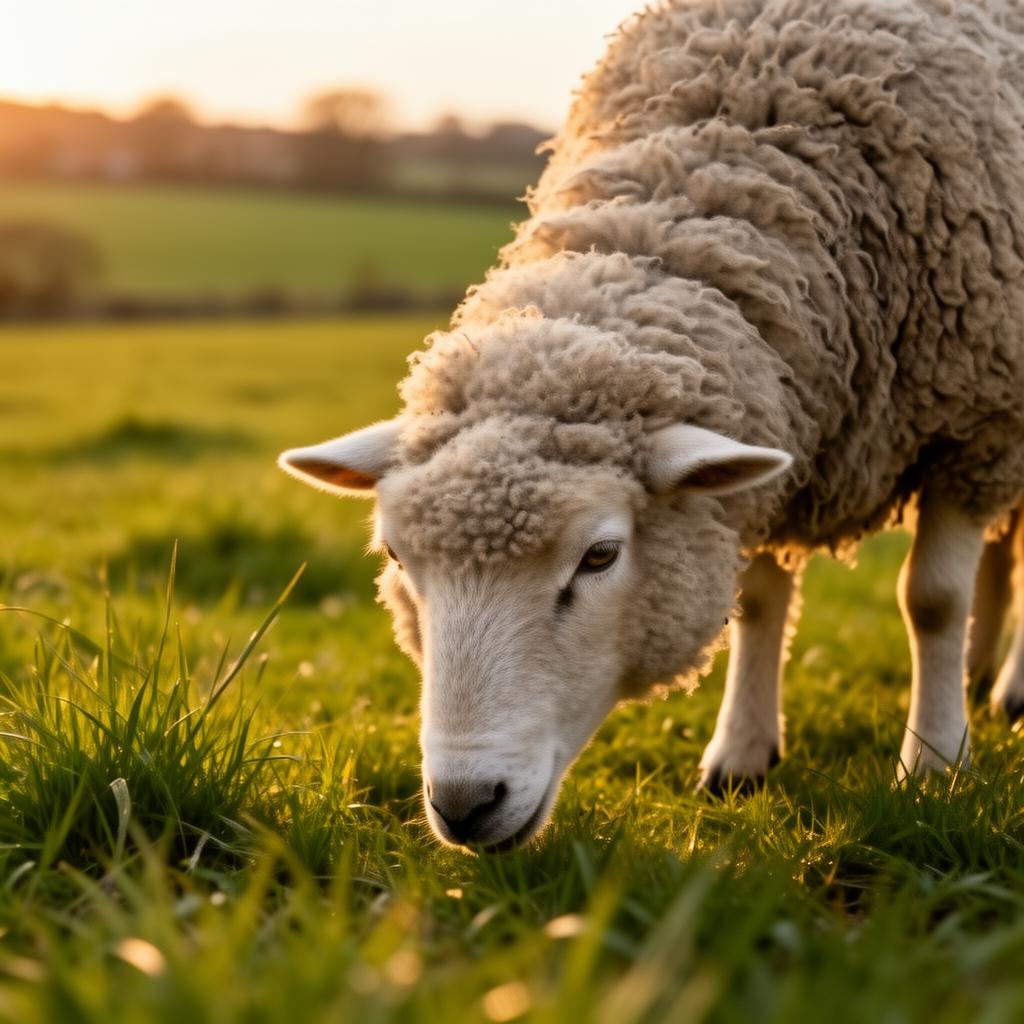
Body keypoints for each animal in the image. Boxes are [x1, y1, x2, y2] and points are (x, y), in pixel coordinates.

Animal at [279, 0, 1024, 850]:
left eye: (600, 555)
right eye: (398, 558)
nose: (465, 804)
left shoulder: (975, 428)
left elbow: (931, 601)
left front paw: (934, 765)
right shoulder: (762, 453)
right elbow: (757, 601)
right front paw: (741, 755)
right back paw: (980, 669)